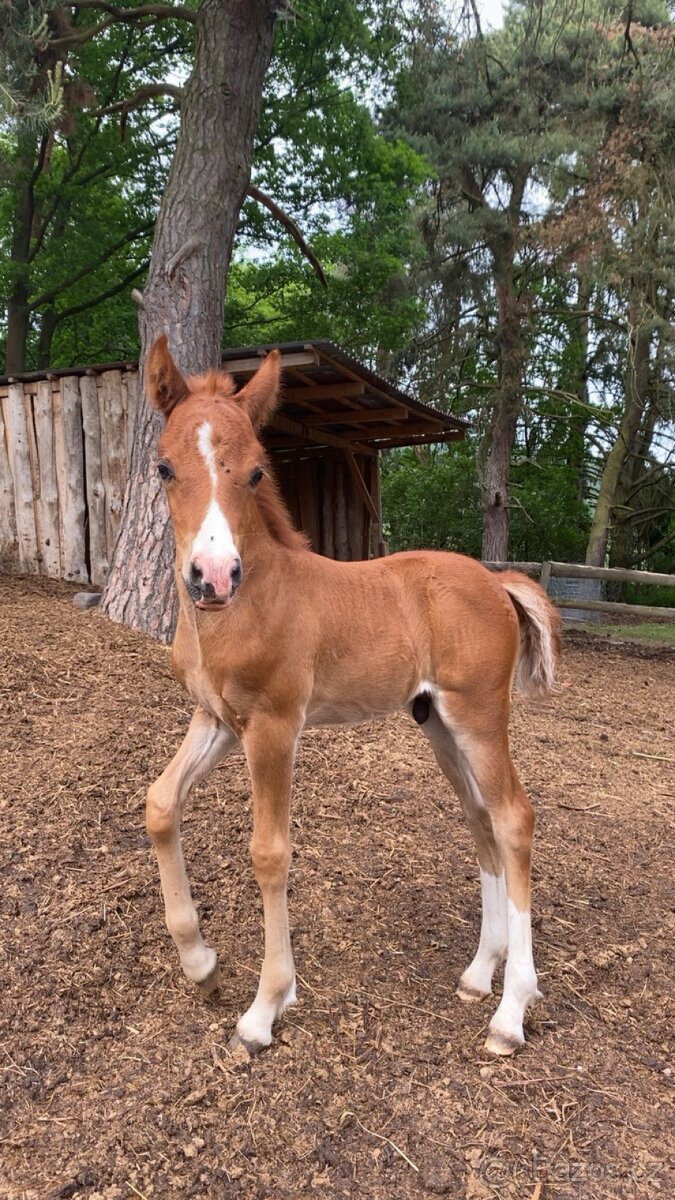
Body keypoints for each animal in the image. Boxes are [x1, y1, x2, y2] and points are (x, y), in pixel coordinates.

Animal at [144, 335, 561, 1057]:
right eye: (166, 467)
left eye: (256, 473)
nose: (212, 577)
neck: (243, 606)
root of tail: (495, 580)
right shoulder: (217, 719)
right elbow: (161, 804)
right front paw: (201, 964)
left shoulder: (274, 725)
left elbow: (269, 852)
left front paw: (265, 1008)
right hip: (438, 725)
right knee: (481, 821)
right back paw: (479, 974)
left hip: (479, 717)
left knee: (513, 818)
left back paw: (511, 1012)